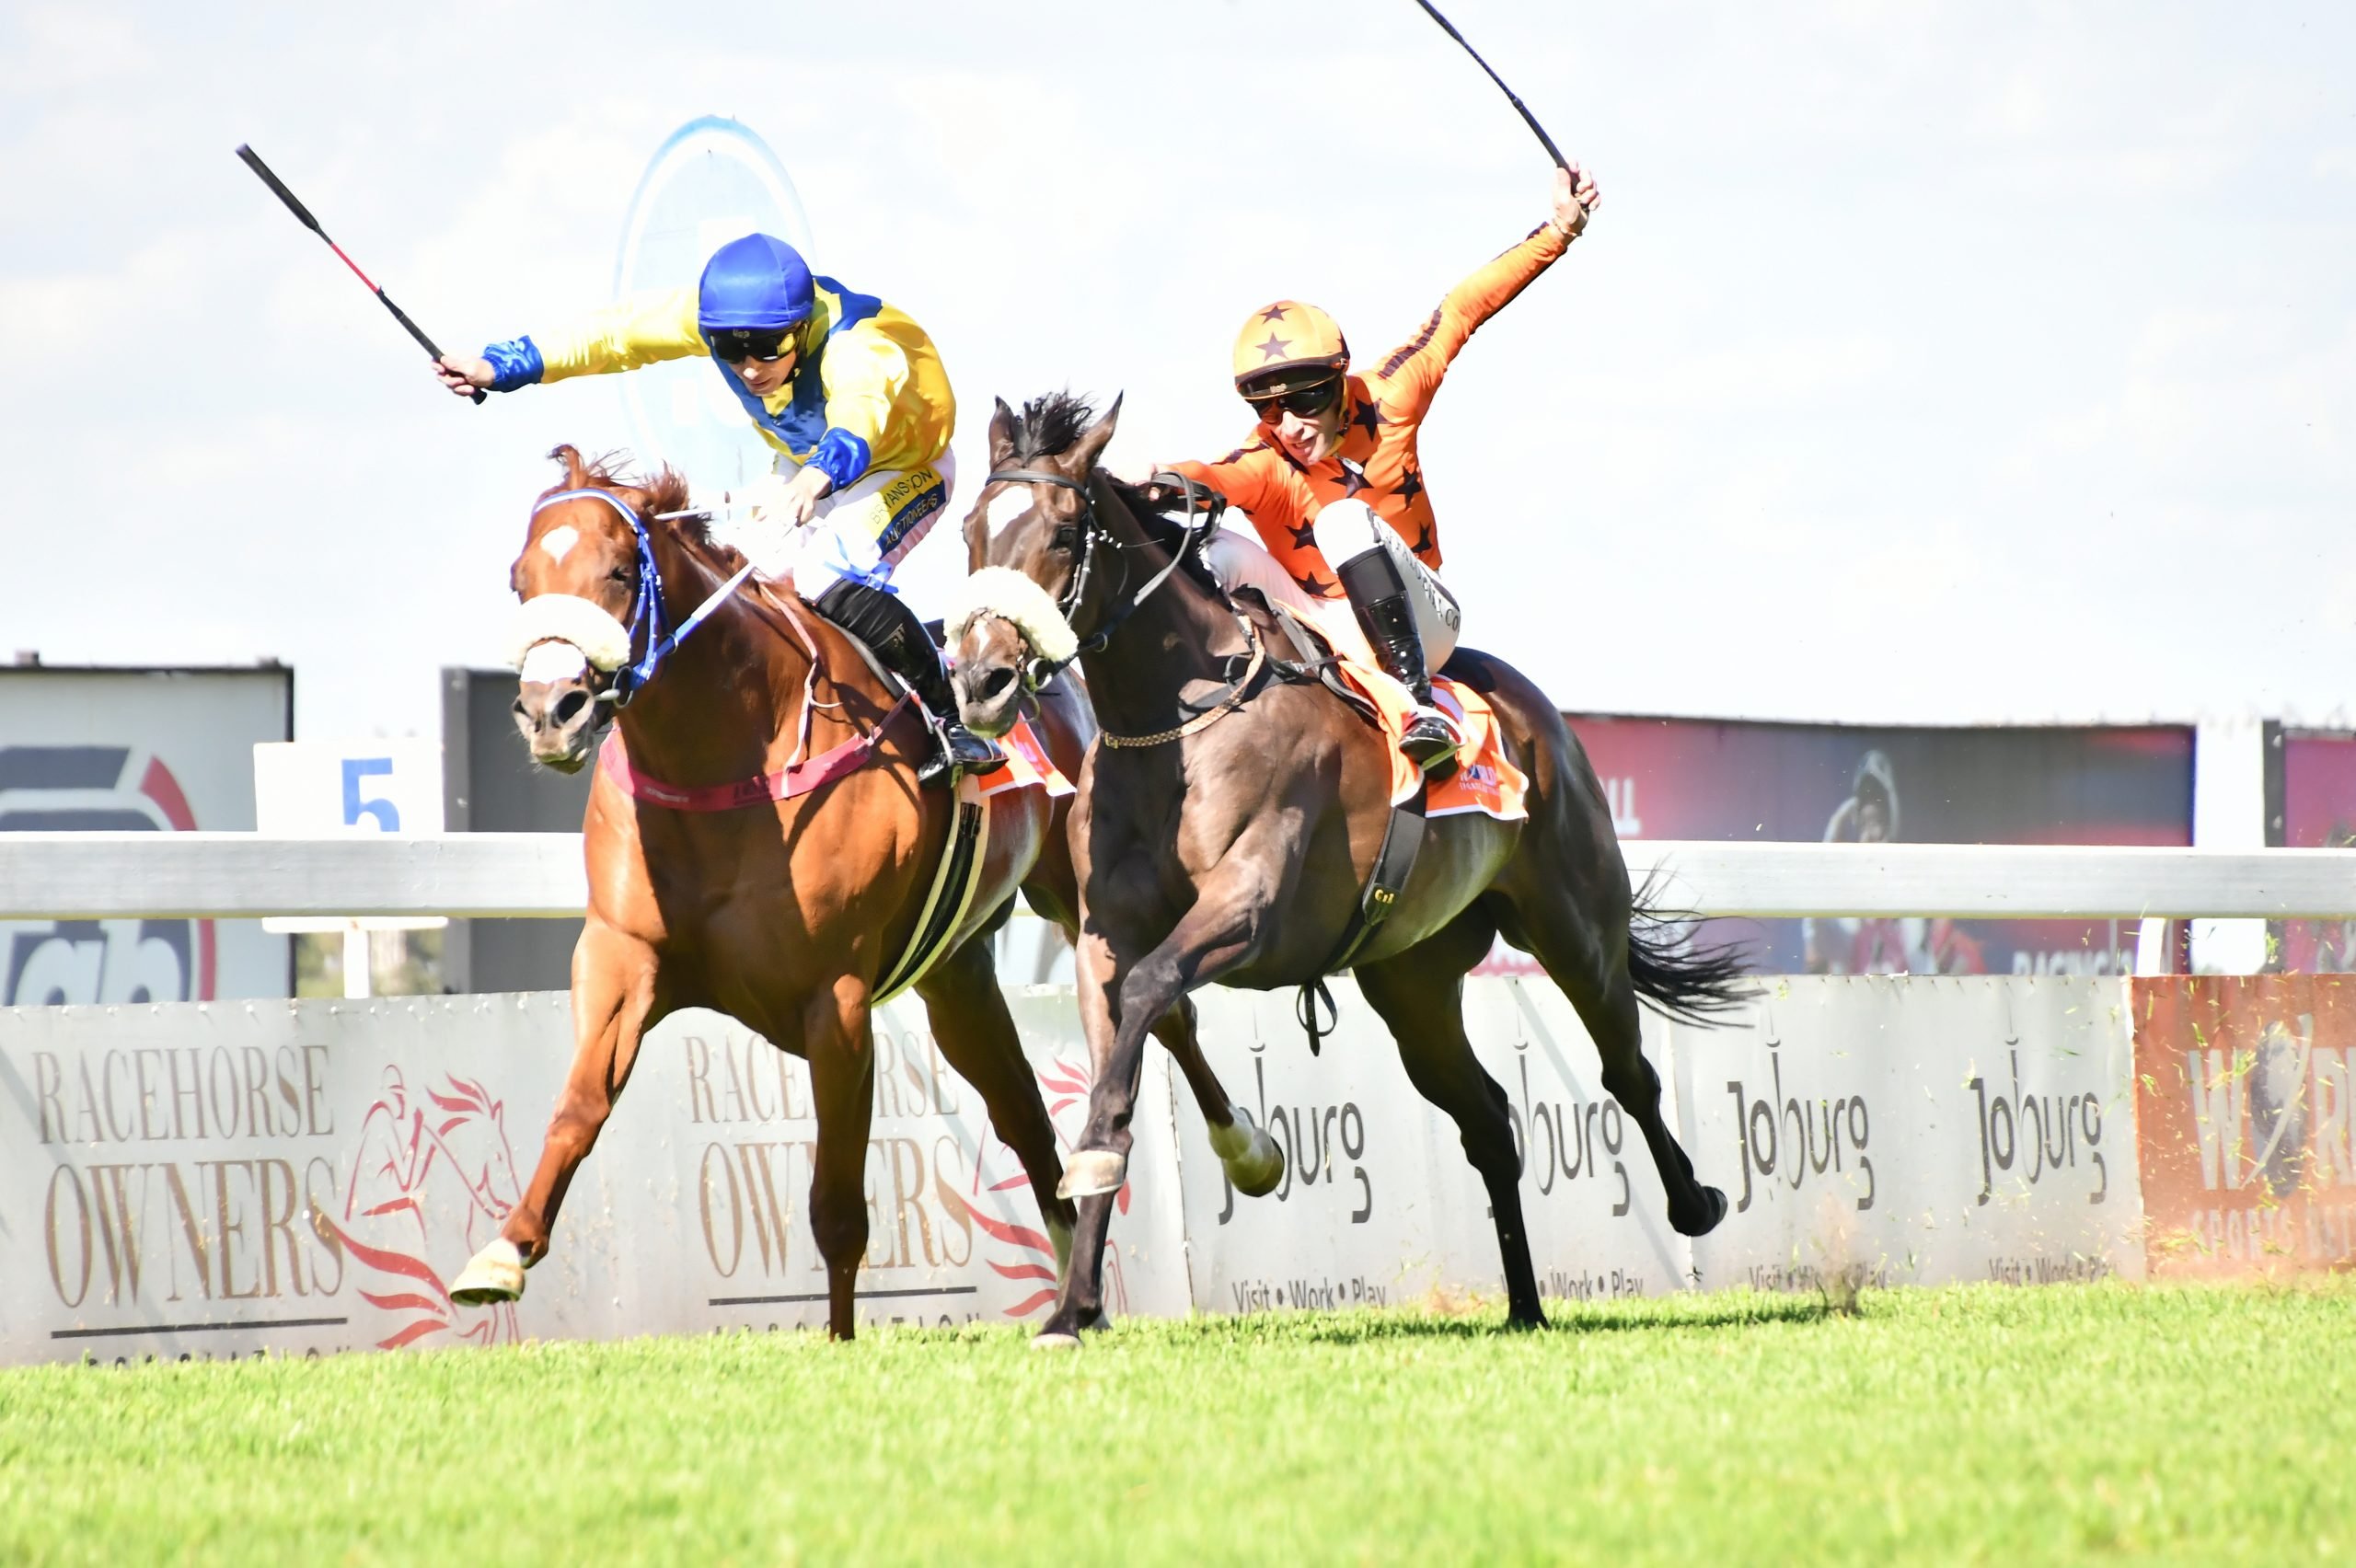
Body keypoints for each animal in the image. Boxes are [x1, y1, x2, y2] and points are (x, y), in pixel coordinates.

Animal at [447, 444, 1281, 1337]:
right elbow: (577, 1107)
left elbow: (838, 1206)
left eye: (616, 571)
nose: (553, 712)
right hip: (955, 973)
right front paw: (501, 1254)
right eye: (520, 580)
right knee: (1022, 1111)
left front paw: (842, 1343)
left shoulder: (836, 999)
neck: (726, 759)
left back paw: (1247, 1156)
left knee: (1166, 1015)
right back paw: (1069, 1280)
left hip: (1077, 895)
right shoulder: (620, 955)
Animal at [942, 398, 1752, 1337]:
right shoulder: (1101, 935)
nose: (983, 682)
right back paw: (1523, 1308)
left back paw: (1695, 1203)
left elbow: (1154, 988)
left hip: (1575, 926)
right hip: (1412, 979)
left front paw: (1247, 1158)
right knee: (1488, 1122)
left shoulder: (1251, 908)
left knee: (1628, 1070)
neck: (1179, 719)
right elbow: (1117, 1078)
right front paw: (1072, 1308)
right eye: (971, 531)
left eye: (1065, 532)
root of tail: (1539, 717)